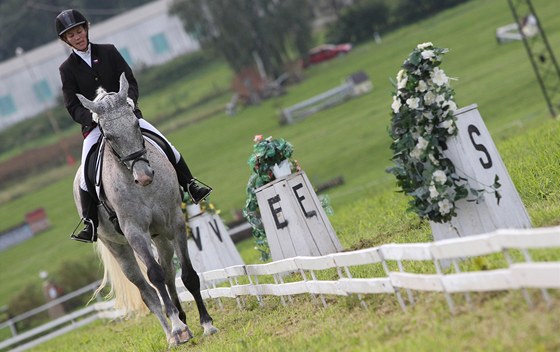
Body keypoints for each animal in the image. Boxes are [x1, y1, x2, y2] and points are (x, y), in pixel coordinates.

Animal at [72, 73, 217, 346]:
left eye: (135, 125)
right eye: (109, 136)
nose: (144, 177)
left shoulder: (175, 222)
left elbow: (188, 275)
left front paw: (207, 323)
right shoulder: (135, 232)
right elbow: (154, 276)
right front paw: (178, 330)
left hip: (161, 236)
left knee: (169, 271)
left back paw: (182, 318)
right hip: (118, 247)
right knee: (147, 290)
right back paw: (173, 333)